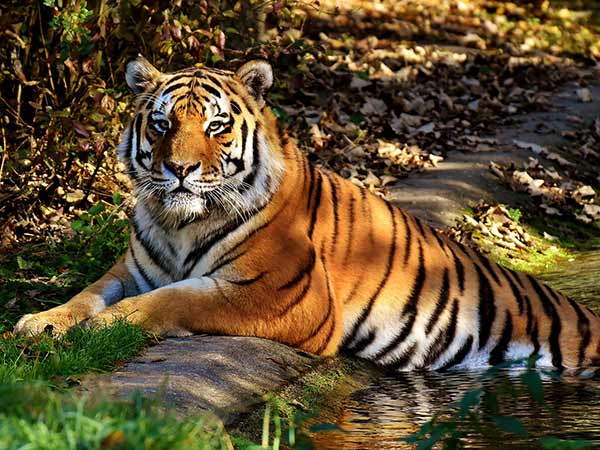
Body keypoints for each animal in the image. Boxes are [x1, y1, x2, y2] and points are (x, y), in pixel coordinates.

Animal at [12, 56, 600, 372]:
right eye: (161, 124)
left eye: (216, 126)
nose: (178, 169)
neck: (179, 222)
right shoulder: (131, 269)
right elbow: (87, 293)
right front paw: (42, 323)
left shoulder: (282, 293)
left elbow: (173, 300)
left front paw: (100, 328)